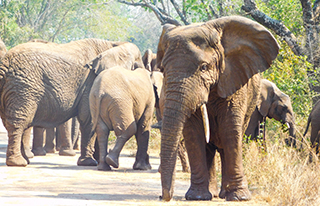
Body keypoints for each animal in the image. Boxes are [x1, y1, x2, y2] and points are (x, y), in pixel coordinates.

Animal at [0, 38, 130, 167]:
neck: (112, 45)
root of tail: (5, 63)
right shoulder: (91, 82)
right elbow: (89, 119)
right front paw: (89, 163)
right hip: (23, 88)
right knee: (19, 122)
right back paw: (18, 163)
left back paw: (25, 160)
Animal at [156, 16, 278, 201]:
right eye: (163, 69)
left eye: (204, 67)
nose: (163, 197)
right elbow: (193, 133)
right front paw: (197, 197)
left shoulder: (234, 80)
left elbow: (230, 130)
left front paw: (240, 198)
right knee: (209, 148)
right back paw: (211, 194)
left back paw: (224, 194)